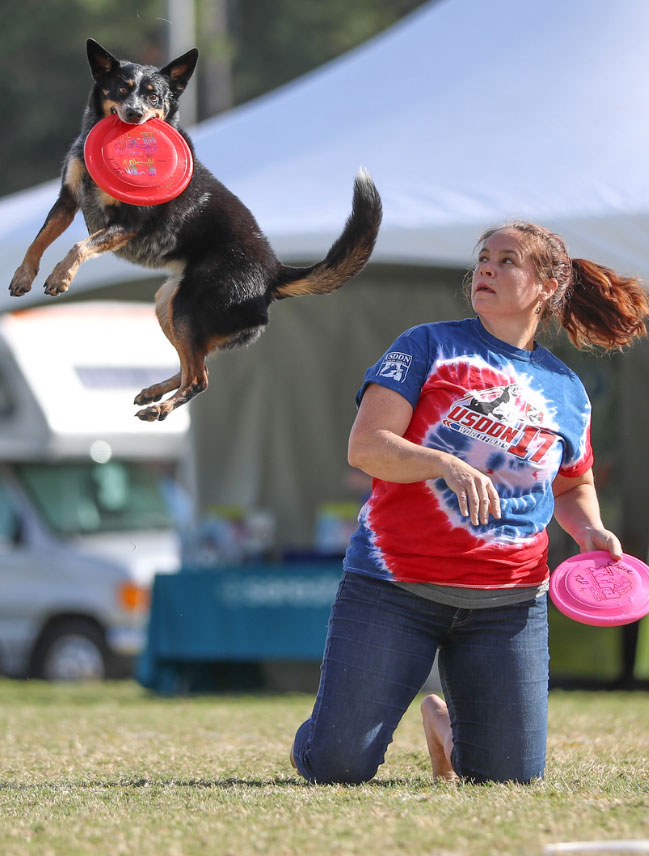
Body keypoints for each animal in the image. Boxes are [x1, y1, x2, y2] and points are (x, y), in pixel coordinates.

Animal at [7, 40, 382, 422]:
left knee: (199, 377)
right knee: (192, 365)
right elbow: (39, 240)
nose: (134, 115)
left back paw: (161, 407)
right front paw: (24, 276)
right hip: (167, 303)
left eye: (154, 96)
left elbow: (80, 246)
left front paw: (60, 276)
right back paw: (154, 393)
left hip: (186, 307)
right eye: (122, 90)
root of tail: (274, 272)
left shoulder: (128, 223)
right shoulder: (67, 200)